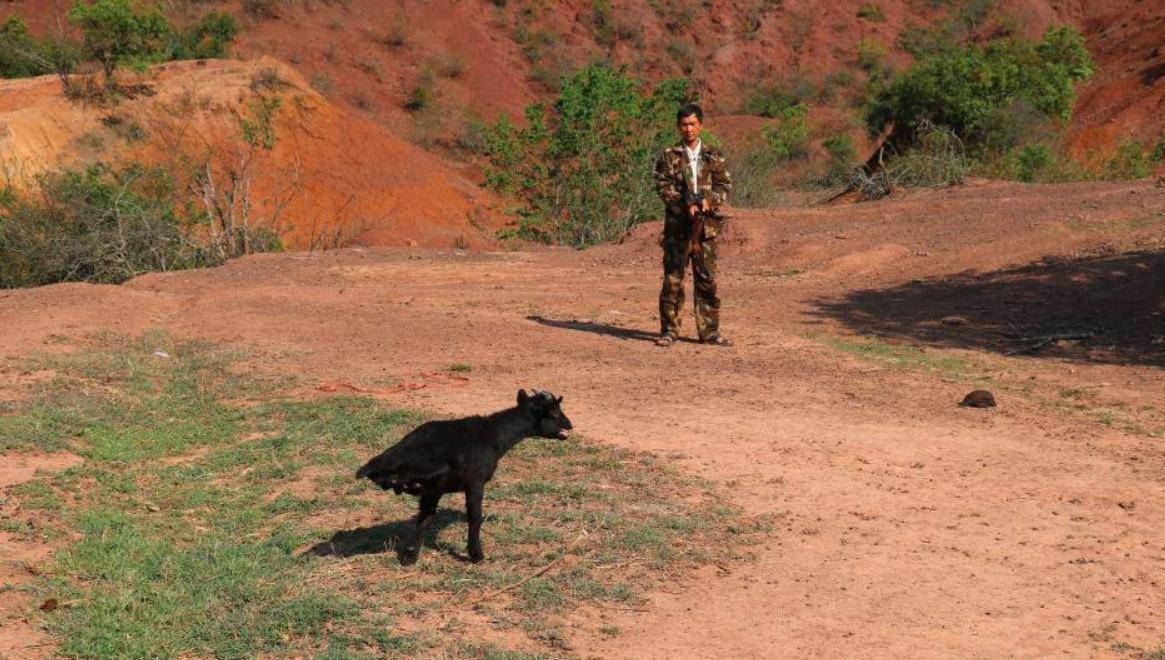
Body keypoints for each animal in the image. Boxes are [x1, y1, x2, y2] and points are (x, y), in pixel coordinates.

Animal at [354, 391, 573, 565]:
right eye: (554, 414)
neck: (494, 435)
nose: (569, 426)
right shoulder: (475, 482)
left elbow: (425, 517)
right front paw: (477, 555)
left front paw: (409, 555)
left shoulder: (436, 491)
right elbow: (474, 517)